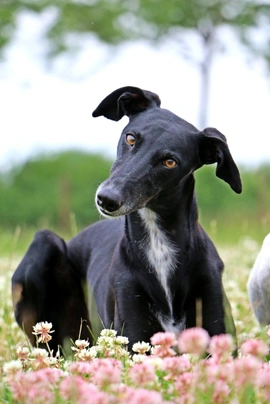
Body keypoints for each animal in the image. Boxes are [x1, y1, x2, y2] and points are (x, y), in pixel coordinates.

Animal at [11, 87, 242, 352]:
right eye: (131, 138)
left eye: (169, 161)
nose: (106, 199)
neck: (159, 247)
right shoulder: (133, 336)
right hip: (45, 246)